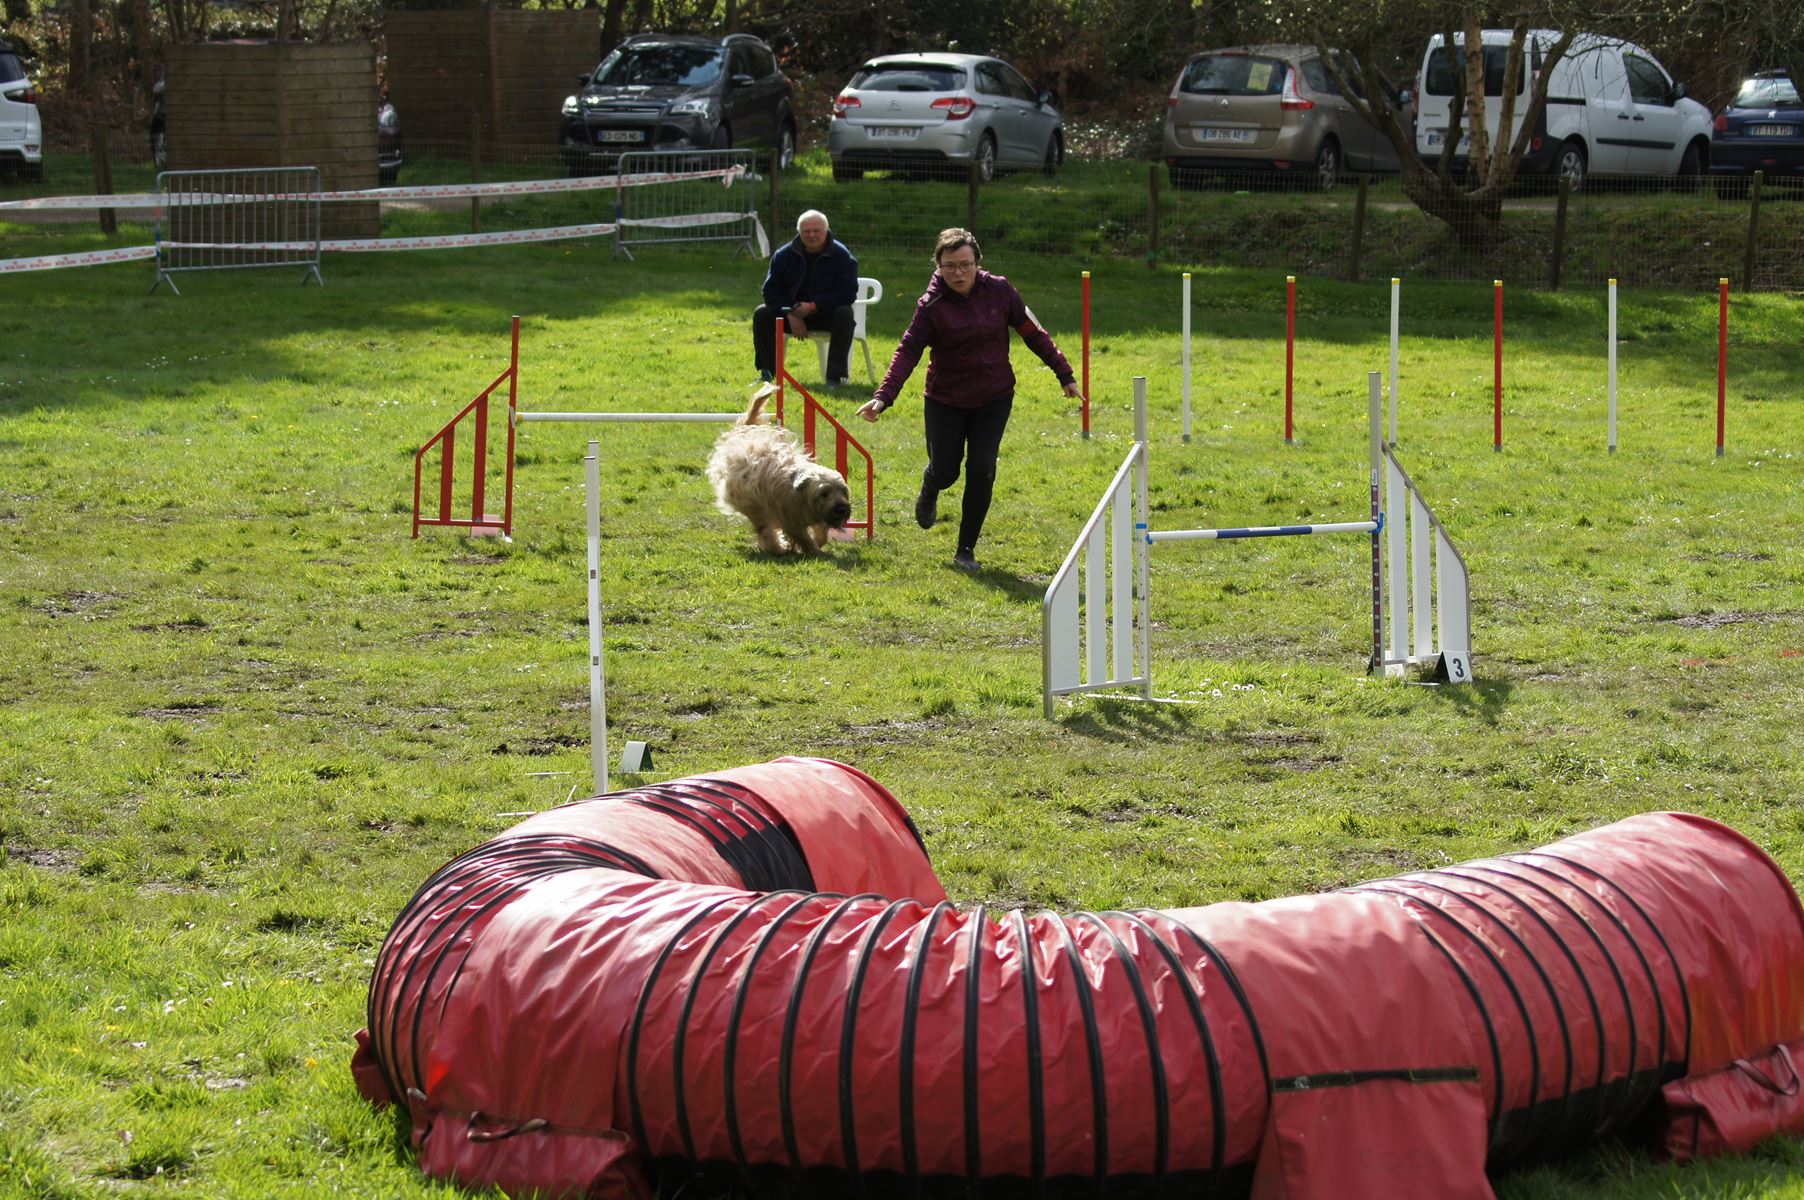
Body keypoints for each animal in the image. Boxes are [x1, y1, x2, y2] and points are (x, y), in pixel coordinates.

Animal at [703, 380, 851, 555]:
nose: (841, 508)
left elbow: (821, 531)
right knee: (764, 528)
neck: (800, 492)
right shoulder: (790, 519)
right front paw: (814, 550)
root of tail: (745, 430)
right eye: (825, 493)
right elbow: (802, 537)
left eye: (843, 490)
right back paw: (775, 547)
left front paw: (819, 542)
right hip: (754, 506)